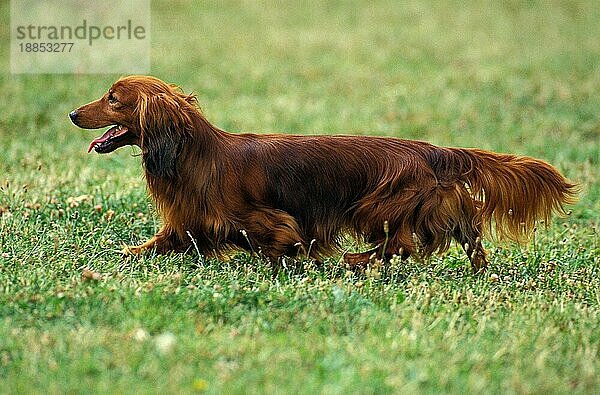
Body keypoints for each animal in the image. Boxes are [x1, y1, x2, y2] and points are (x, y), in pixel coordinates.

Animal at [70, 75, 576, 272]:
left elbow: (282, 239)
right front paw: (120, 257)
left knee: (402, 243)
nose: (73, 113)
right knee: (463, 235)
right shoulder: (189, 224)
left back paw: (356, 261)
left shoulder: (267, 219)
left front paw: (294, 259)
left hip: (376, 204)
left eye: (114, 99)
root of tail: (434, 151)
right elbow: (153, 245)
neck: (193, 154)